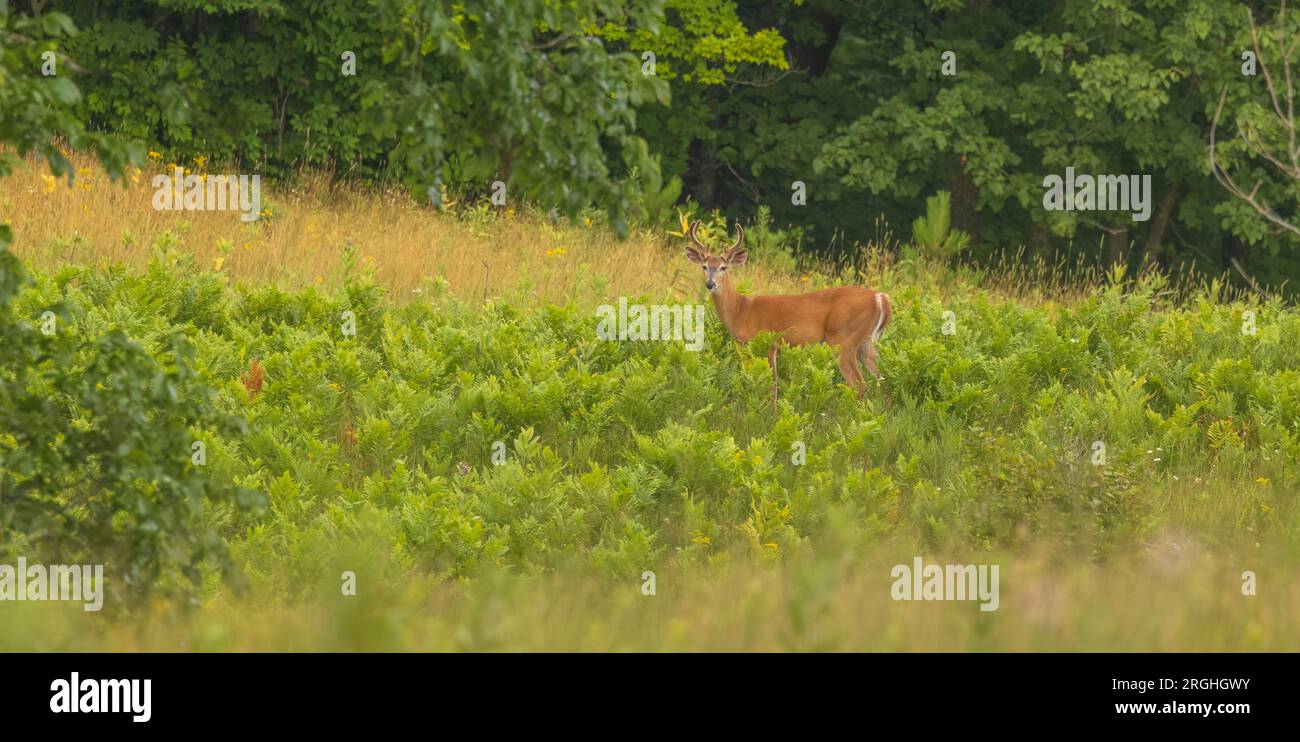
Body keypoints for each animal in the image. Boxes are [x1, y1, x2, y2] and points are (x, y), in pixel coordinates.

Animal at [681, 220, 894, 405]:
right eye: (704, 266)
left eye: (724, 267)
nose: (710, 284)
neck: (741, 311)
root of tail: (880, 297)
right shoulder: (744, 347)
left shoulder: (769, 343)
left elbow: (772, 387)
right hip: (865, 343)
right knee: (882, 381)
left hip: (843, 339)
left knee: (860, 384)